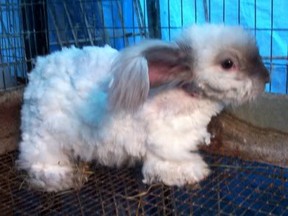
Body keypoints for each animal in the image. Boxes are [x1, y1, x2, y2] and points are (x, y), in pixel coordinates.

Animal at [17, 24, 270, 192]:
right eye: (228, 63)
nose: (266, 78)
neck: (184, 93)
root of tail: (38, 69)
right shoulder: (163, 145)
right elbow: (164, 164)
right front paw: (193, 172)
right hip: (45, 137)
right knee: (38, 161)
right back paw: (64, 177)